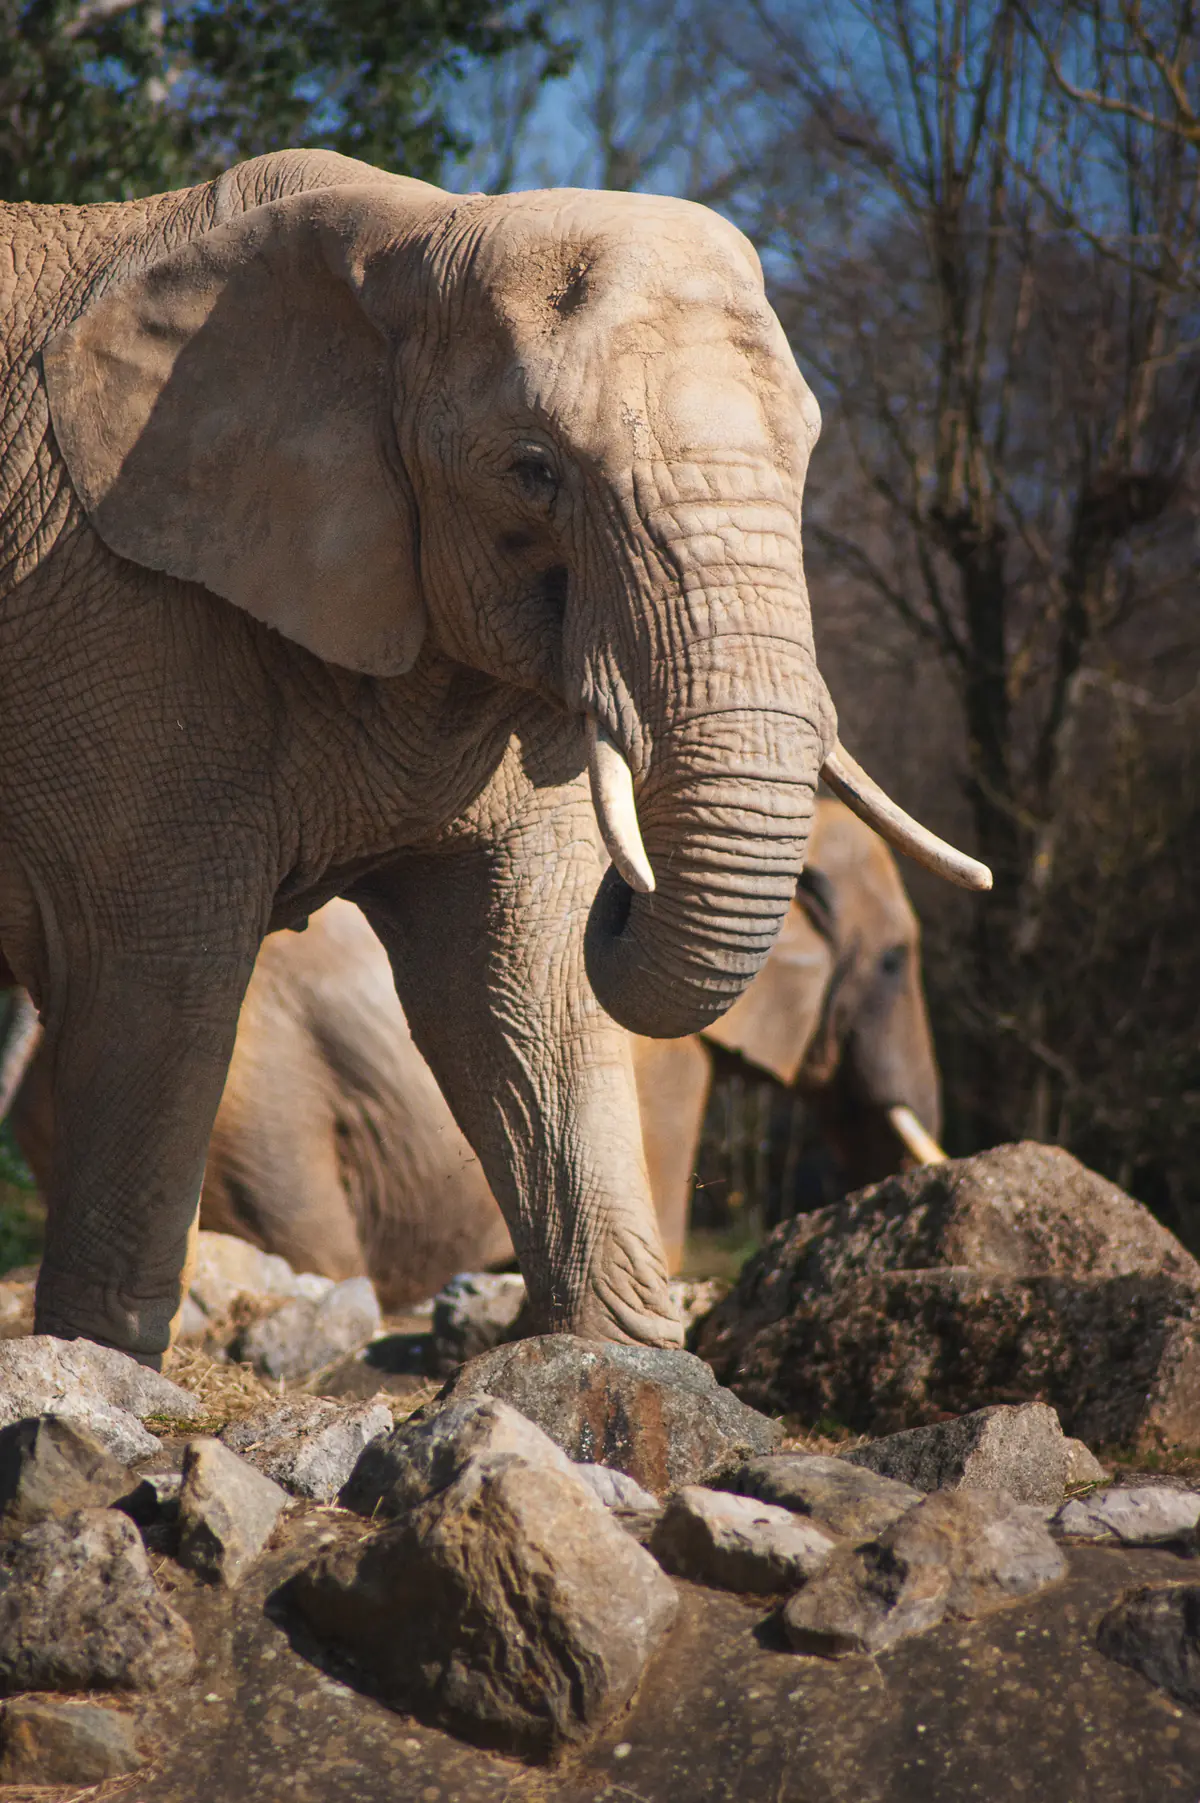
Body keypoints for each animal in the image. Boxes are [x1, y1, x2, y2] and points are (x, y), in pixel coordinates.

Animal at [0, 148, 988, 1363]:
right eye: (534, 471)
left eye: (808, 450)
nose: (630, 878)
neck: (414, 234)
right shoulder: (110, 611)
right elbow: (155, 972)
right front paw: (96, 1363)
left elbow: (521, 976)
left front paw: (618, 1365)